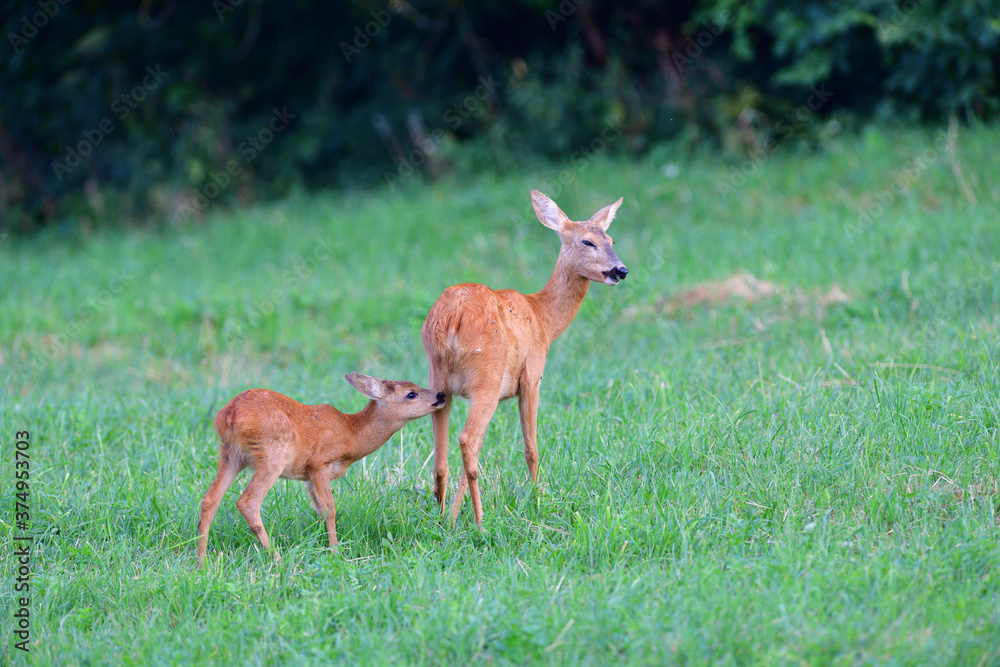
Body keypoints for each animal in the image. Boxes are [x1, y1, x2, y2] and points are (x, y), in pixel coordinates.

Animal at [420, 189, 624, 528]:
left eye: (611, 239)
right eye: (587, 242)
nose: (620, 270)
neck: (543, 319)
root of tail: (452, 319)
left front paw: (452, 516)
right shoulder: (532, 376)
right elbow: (532, 447)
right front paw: (539, 498)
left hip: (438, 381)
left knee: (443, 455)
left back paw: (442, 517)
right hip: (487, 377)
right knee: (468, 440)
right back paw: (480, 521)